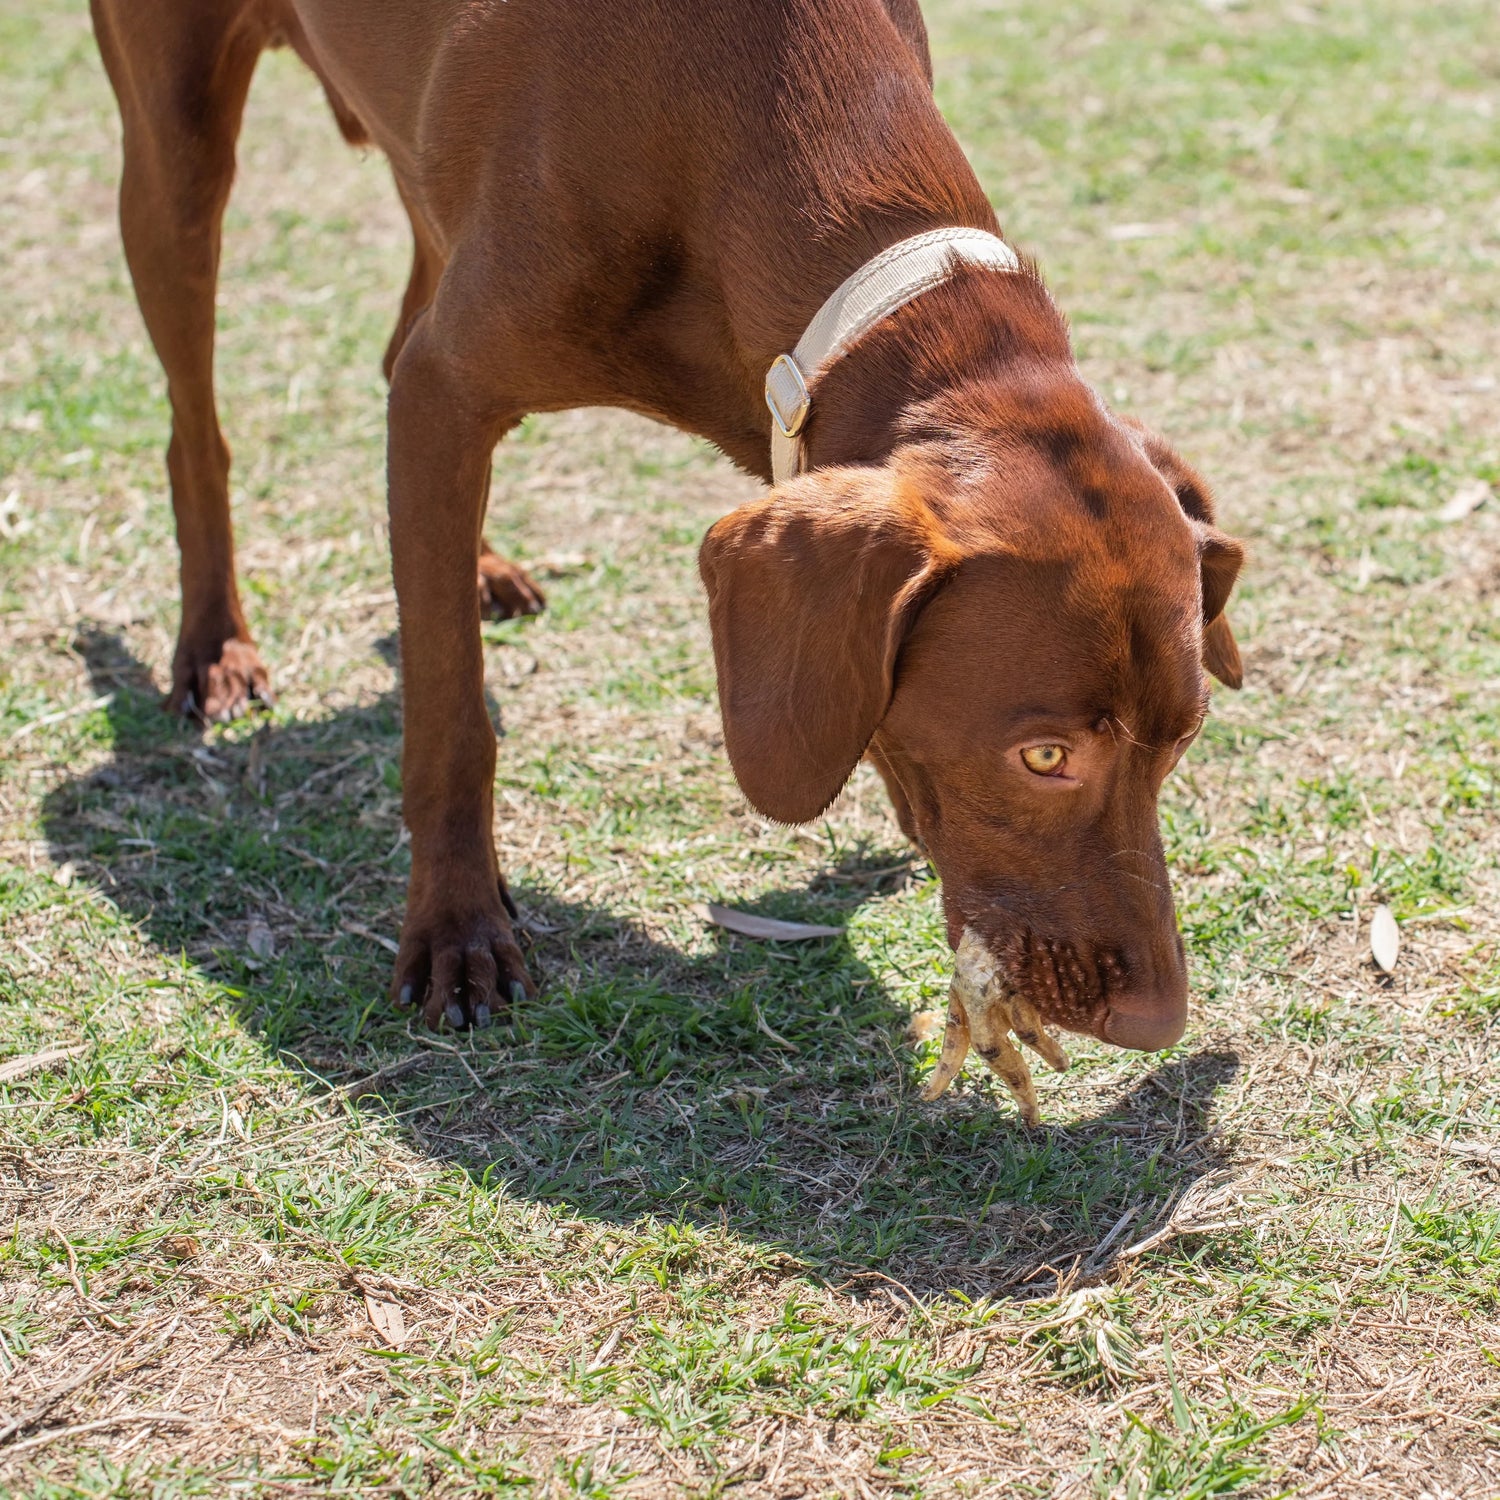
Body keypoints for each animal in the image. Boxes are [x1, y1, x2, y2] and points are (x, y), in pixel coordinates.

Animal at [90, 0, 1242, 1050]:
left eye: (1184, 738)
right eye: (1044, 756)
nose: (1158, 1021)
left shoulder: (448, 388)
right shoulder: (447, 389)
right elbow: (451, 715)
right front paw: (458, 926)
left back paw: (476, 563)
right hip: (175, 155)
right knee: (195, 421)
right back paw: (214, 645)